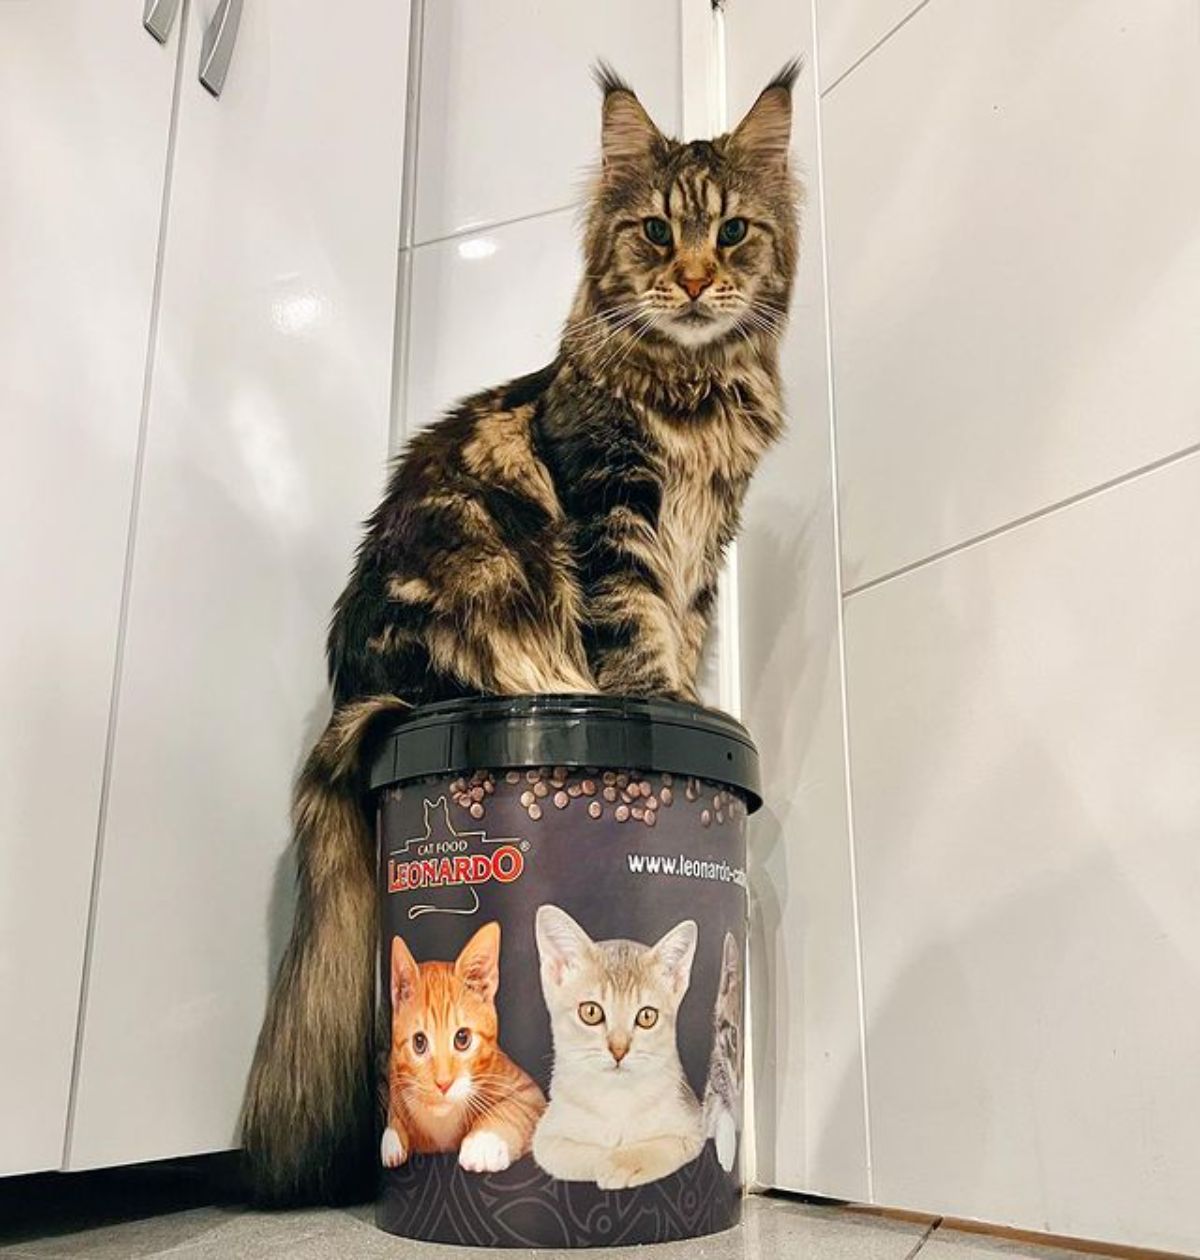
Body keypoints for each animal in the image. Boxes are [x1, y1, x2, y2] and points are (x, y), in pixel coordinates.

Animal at [383, 922, 547, 1174]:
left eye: (462, 1038)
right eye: (419, 1042)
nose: (443, 1084)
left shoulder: (530, 1093)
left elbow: (514, 1108)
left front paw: (484, 1142)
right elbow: (395, 1109)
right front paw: (391, 1136)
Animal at [531, 902, 700, 1184]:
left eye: (647, 1016)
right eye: (590, 1012)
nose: (619, 1050)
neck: (615, 1098)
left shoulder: (692, 1128)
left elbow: (659, 1145)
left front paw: (621, 1163)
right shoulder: (545, 1139)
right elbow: (579, 1153)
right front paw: (606, 1160)